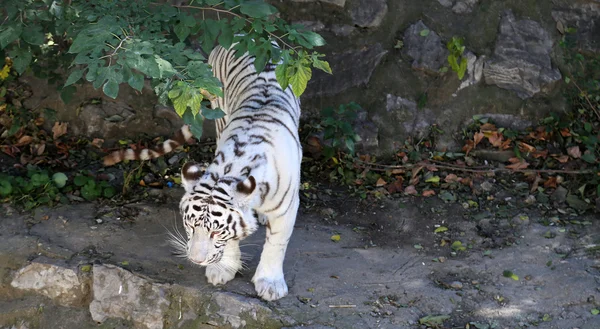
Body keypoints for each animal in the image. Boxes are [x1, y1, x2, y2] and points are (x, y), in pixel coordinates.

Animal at [105, 44, 302, 302]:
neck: (234, 167)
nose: (196, 260)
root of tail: (240, 39)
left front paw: (270, 284)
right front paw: (222, 269)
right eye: (190, 226)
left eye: (216, 232)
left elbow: (276, 244)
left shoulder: (286, 207)